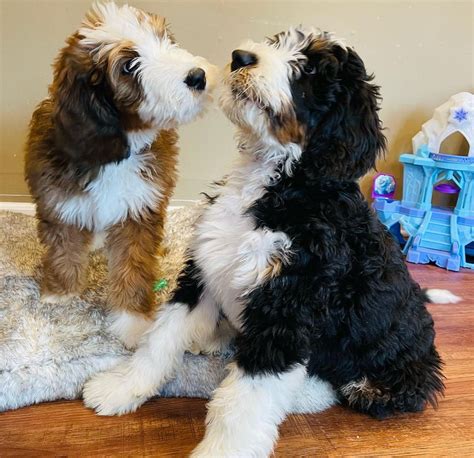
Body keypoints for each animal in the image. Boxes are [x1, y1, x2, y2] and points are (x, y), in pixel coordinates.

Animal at [25, 2, 217, 348]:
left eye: (165, 38)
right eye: (128, 66)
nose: (197, 76)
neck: (116, 152)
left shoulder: (139, 209)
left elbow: (133, 266)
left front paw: (132, 322)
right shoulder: (61, 203)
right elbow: (64, 250)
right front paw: (61, 295)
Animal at [84, 27, 460, 454]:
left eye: (310, 70)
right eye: (278, 42)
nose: (241, 57)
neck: (277, 182)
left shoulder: (288, 308)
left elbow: (246, 398)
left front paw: (222, 451)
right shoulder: (204, 271)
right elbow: (161, 339)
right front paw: (121, 388)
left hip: (386, 378)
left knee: (350, 385)